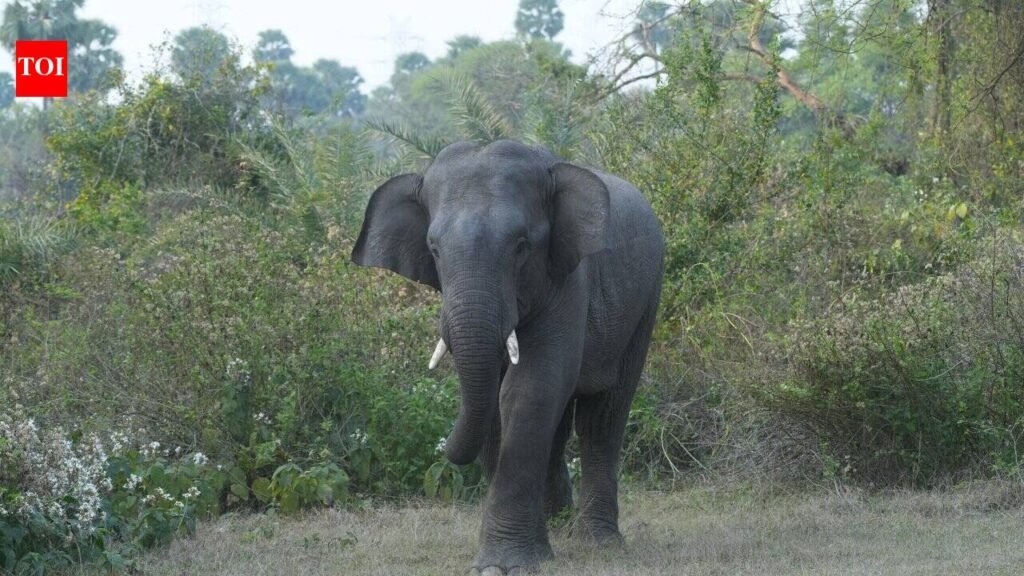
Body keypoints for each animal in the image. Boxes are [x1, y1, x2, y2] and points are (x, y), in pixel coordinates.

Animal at [352, 140, 664, 574]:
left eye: (521, 245)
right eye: (433, 248)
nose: (445, 449)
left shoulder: (568, 279)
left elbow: (527, 390)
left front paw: (501, 566)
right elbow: (499, 406)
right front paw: (527, 556)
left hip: (646, 303)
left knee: (602, 417)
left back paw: (599, 543)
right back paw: (558, 528)